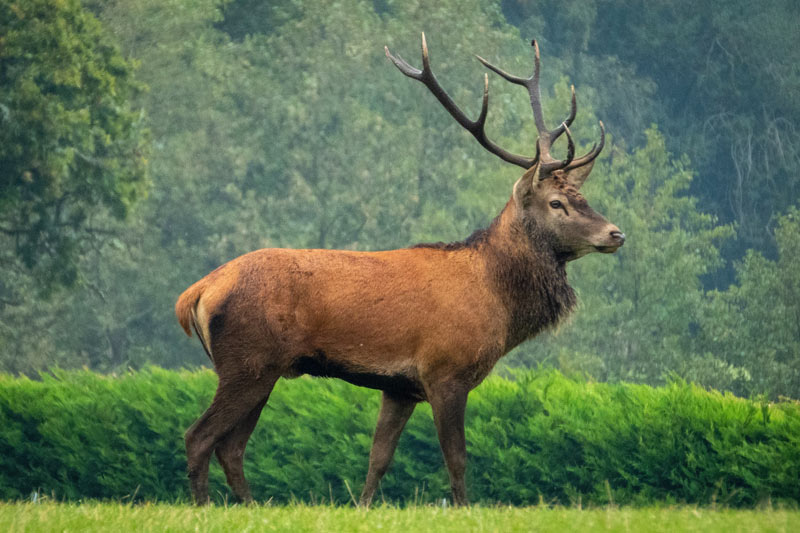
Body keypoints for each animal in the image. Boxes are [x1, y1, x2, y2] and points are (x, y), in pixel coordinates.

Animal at [175, 34, 625, 507]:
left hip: (262, 368)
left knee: (231, 446)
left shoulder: (399, 386)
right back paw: (206, 506)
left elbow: (379, 457)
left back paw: (250, 505)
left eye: (583, 196)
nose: (615, 233)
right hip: (248, 361)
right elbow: (456, 459)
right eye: (556, 203)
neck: (498, 303)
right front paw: (464, 509)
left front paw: (363, 506)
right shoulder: (445, 371)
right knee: (199, 437)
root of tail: (197, 293)